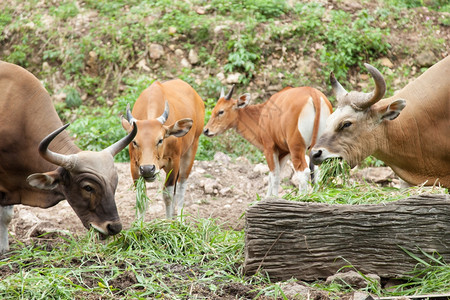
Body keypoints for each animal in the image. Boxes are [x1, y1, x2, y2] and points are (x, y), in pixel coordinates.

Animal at [119, 78, 204, 217]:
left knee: (181, 185)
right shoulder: (134, 165)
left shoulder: (174, 162)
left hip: (192, 148)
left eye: (160, 140)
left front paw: (169, 222)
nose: (147, 169)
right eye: (135, 142)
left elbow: (167, 195)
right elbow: (141, 199)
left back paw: (179, 218)